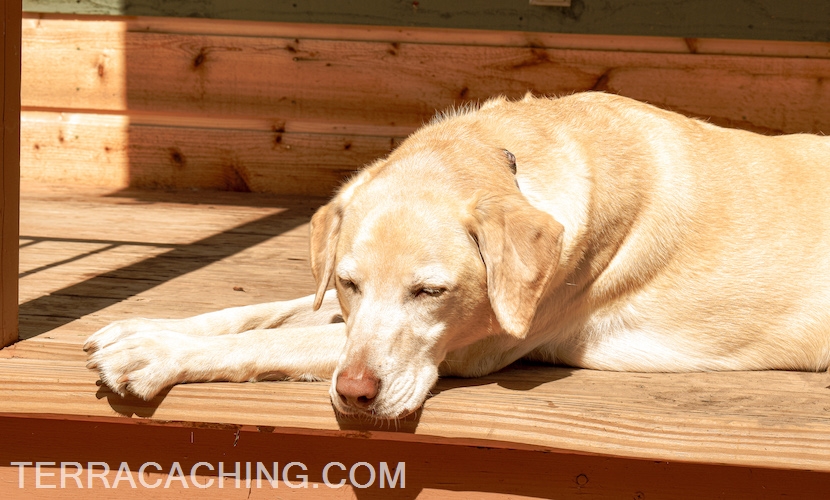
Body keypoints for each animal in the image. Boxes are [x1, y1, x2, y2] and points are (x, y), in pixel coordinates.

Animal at [86, 93, 830, 418]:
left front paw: (154, 355)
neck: (506, 156)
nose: (356, 394)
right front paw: (141, 329)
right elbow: (267, 312)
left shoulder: (468, 349)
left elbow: (277, 339)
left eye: (432, 292)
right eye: (350, 283)